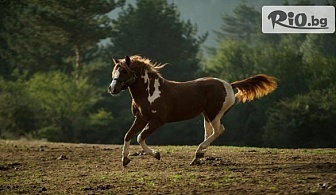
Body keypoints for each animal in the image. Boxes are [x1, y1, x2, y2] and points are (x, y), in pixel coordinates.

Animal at [107, 54, 278, 166]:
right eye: (114, 70)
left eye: (125, 71)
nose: (112, 88)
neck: (150, 92)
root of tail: (229, 85)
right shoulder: (141, 118)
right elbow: (128, 135)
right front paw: (125, 159)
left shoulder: (157, 120)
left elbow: (139, 137)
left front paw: (156, 154)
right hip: (207, 115)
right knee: (210, 133)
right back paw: (197, 158)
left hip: (214, 114)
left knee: (219, 130)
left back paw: (198, 152)